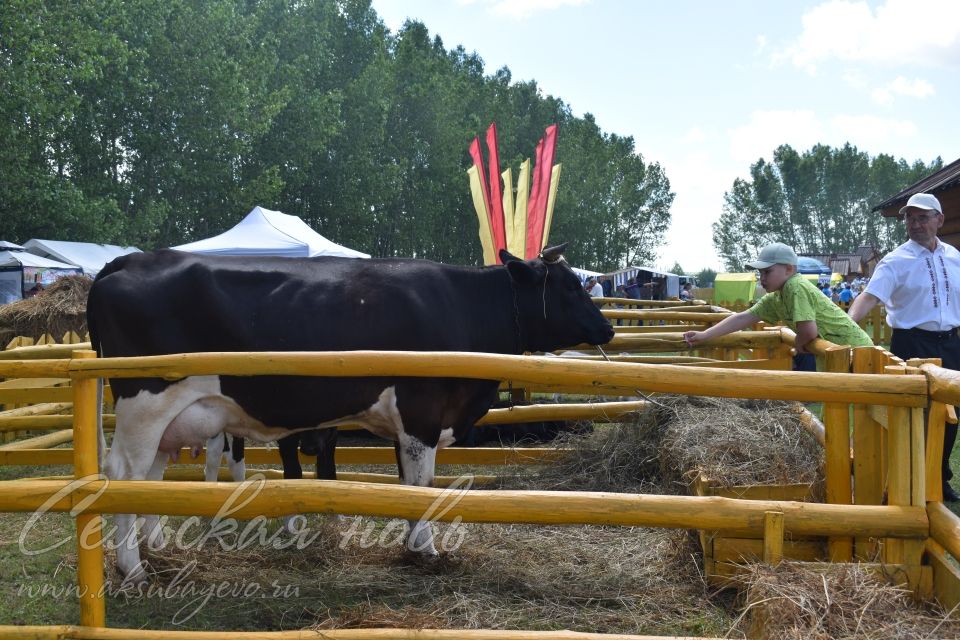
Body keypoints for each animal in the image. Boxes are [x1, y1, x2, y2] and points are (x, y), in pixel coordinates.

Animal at [88, 246, 616, 584]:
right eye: (571, 287)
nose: (608, 328)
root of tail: (129, 259)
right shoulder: (422, 413)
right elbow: (423, 487)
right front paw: (426, 550)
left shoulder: (406, 425)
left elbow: (407, 485)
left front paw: (411, 545)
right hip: (143, 405)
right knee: (124, 475)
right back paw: (133, 568)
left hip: (166, 421)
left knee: (151, 478)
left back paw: (159, 550)